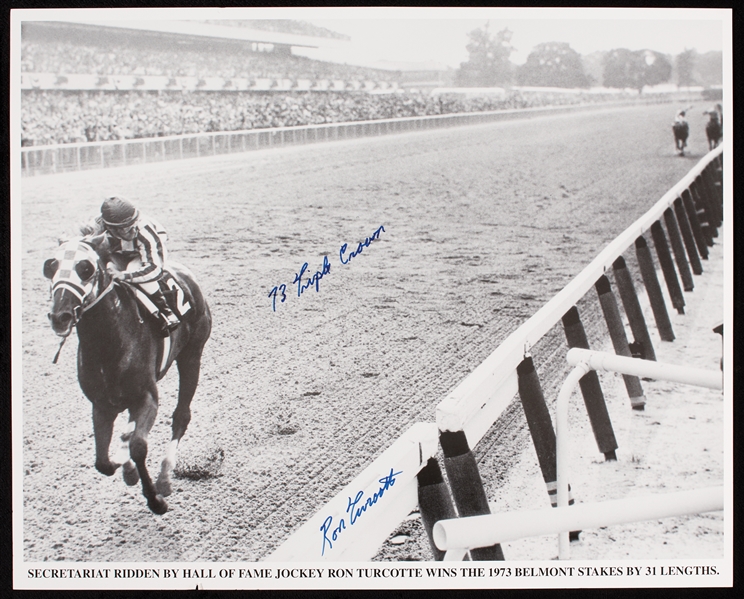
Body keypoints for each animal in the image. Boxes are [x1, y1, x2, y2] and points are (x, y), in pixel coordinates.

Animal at [44, 234, 212, 516]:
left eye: (86, 268)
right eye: (51, 266)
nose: (60, 316)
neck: (109, 342)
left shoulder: (147, 398)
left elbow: (138, 446)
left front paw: (155, 499)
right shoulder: (101, 405)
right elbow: (102, 461)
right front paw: (126, 468)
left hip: (192, 355)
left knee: (181, 416)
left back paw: (165, 477)